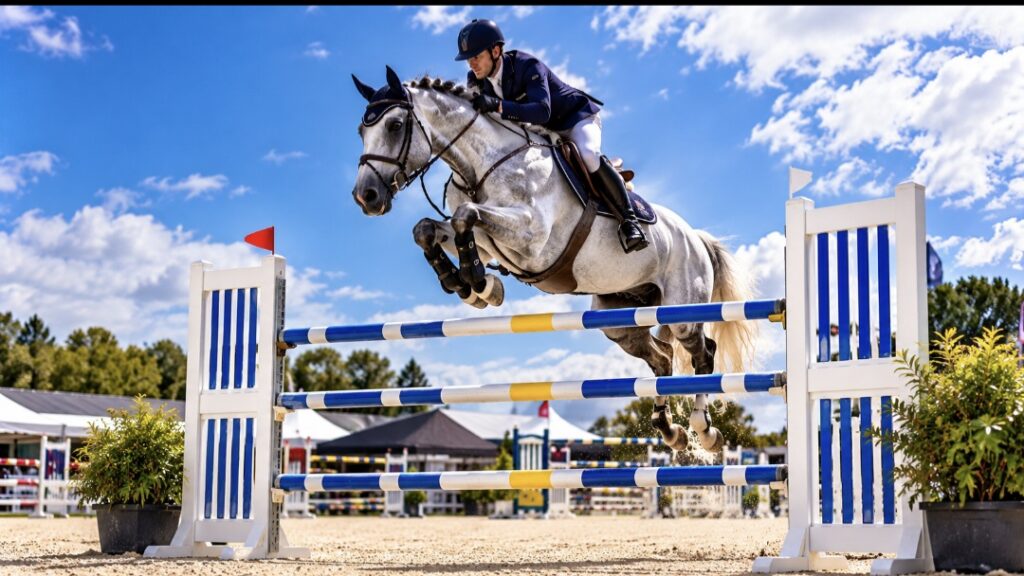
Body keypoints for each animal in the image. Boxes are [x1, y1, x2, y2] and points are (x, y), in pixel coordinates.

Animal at [349, 66, 758, 455]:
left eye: (395, 125)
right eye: (360, 131)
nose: (365, 197)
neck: (482, 165)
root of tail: (697, 238)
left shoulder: (533, 238)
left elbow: (467, 215)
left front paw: (478, 283)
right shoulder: (490, 242)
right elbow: (429, 229)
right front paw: (472, 286)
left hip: (682, 308)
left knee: (703, 355)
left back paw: (705, 432)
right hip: (621, 318)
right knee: (661, 357)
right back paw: (670, 432)